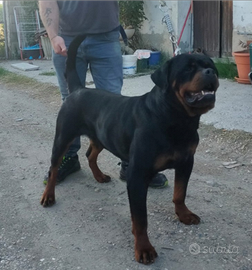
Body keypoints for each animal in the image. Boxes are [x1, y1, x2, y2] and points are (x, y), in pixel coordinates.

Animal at [40, 34, 220, 264]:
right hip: (63, 138)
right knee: (54, 168)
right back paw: (48, 195)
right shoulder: (137, 176)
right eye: (188, 68)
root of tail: (80, 89)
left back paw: (99, 176)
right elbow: (141, 219)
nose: (210, 73)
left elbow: (180, 193)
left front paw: (184, 214)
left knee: (90, 154)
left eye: (210, 66)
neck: (175, 118)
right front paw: (143, 248)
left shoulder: (186, 162)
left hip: (101, 136)